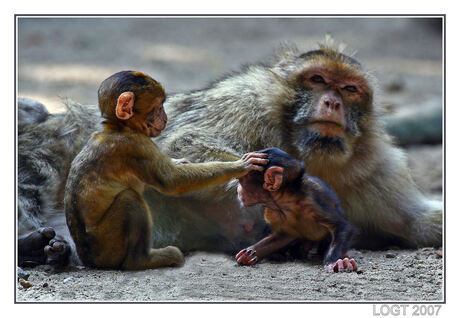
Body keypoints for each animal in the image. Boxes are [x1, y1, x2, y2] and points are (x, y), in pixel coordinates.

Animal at [63, 71, 268, 270]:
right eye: (158, 107)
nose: (165, 117)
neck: (117, 128)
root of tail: (87, 259)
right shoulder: (138, 147)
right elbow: (170, 182)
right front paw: (239, 166)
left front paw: (180, 161)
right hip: (109, 246)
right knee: (129, 199)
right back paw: (141, 260)